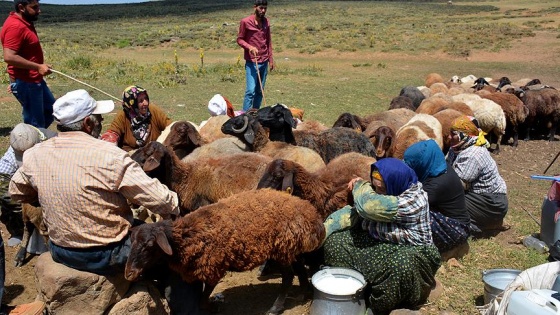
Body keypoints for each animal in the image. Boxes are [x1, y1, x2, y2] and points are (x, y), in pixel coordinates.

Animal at [122, 189, 324, 314]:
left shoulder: (214, 267)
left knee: (288, 276)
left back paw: (275, 307)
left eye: (149, 245)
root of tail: (311, 214)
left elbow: (204, 295)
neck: (188, 236)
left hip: (282, 248)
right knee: (299, 268)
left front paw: (211, 307)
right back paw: (303, 293)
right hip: (291, 246)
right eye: (131, 241)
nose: (128, 273)